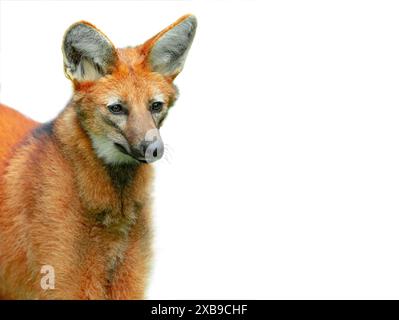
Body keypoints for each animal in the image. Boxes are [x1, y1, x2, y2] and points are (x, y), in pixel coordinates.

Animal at [0, 14, 198, 300]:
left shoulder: (127, 284)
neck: (116, 207)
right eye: (116, 108)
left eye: (155, 106)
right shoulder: (66, 283)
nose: (153, 149)